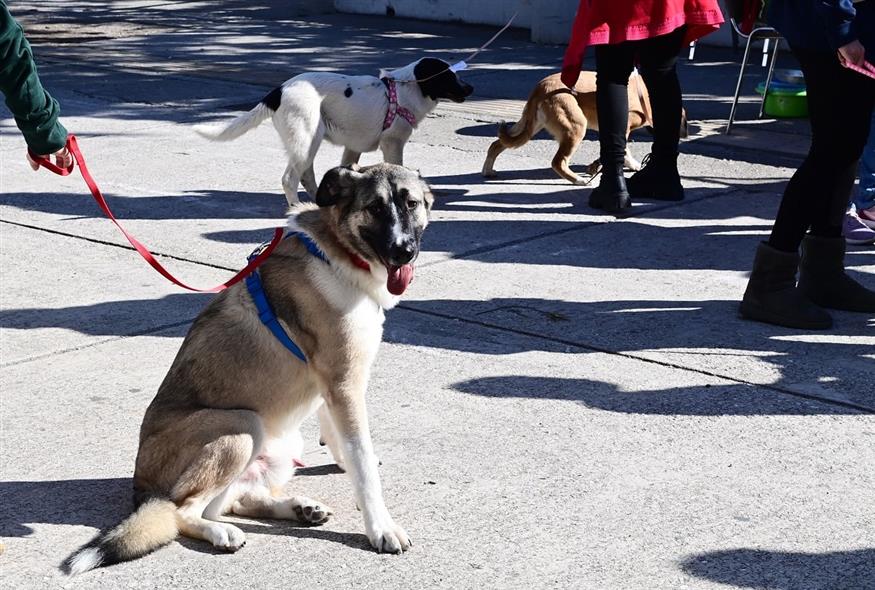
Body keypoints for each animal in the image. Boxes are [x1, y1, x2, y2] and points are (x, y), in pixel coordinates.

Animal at [196, 57, 476, 205]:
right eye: (448, 76)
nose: (470, 88)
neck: (407, 88)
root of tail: (278, 91)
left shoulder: (353, 147)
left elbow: (349, 172)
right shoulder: (393, 144)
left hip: (309, 141)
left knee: (306, 175)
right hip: (306, 139)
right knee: (289, 178)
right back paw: (295, 207)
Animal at [482, 73, 688, 186]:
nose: (684, 135)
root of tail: (541, 88)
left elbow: (622, 150)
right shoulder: (623, 127)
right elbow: (624, 149)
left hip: (528, 126)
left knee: (496, 144)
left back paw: (488, 170)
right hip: (575, 128)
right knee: (558, 162)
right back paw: (577, 180)